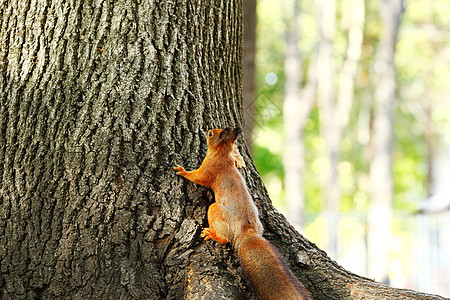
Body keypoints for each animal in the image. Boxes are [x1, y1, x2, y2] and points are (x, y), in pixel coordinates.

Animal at [174, 127, 312, 300]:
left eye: (211, 134)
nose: (207, 129)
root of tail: (246, 231)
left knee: (225, 238)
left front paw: (182, 171)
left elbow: (197, 177)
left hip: (214, 210)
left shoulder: (209, 169)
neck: (222, 154)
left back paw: (213, 234)